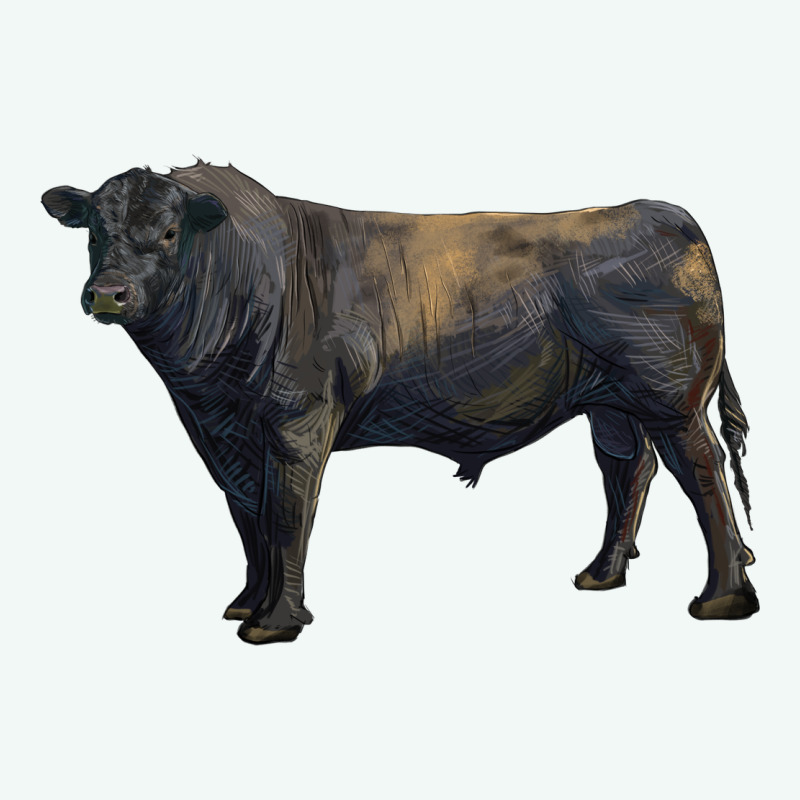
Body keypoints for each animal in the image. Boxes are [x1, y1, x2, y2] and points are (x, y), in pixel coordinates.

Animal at [43, 161, 757, 644]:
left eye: (169, 233)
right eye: (93, 231)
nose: (108, 293)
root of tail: (659, 210)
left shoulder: (297, 423)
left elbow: (285, 517)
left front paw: (276, 621)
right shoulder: (220, 434)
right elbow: (248, 518)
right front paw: (247, 602)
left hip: (671, 398)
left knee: (703, 473)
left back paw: (723, 598)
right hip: (611, 403)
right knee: (628, 469)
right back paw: (602, 573)